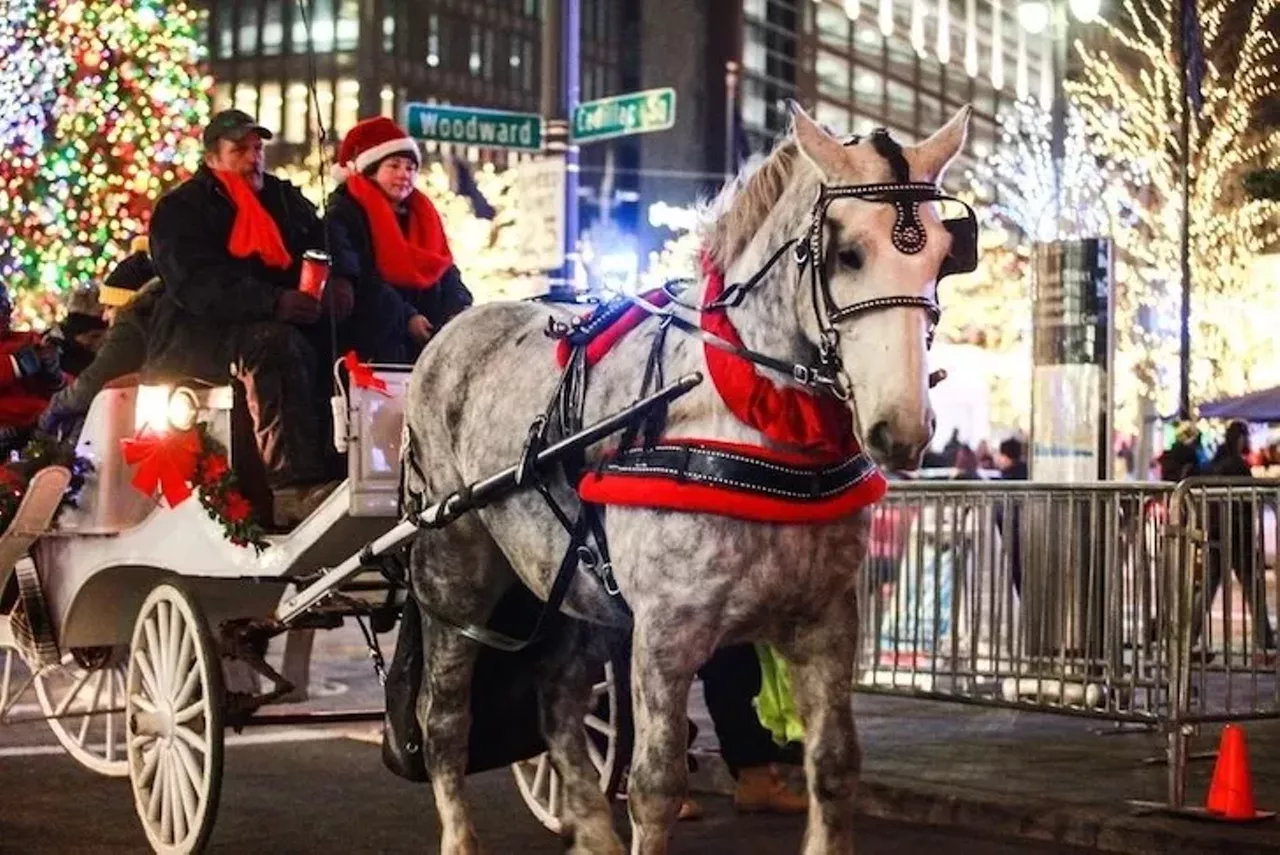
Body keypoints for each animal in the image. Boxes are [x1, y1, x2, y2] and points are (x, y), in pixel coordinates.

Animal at [404, 101, 972, 855]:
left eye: (942, 255)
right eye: (847, 252)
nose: (902, 429)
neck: (751, 412)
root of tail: (453, 332)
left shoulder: (826, 619)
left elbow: (833, 764)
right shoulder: (666, 631)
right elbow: (656, 786)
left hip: (576, 589)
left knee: (558, 702)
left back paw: (592, 829)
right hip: (453, 571)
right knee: (444, 720)